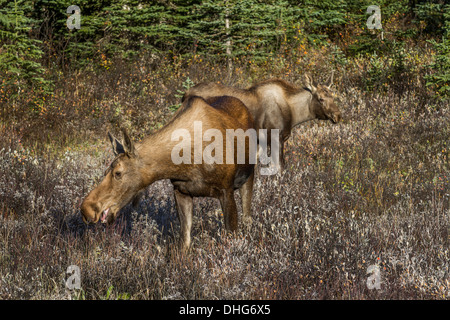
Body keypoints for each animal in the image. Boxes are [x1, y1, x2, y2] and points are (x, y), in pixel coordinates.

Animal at [81, 96, 256, 251]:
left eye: (118, 173)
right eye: (105, 171)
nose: (86, 209)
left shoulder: (226, 190)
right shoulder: (181, 191)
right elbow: (184, 242)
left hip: (248, 176)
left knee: (247, 218)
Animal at [183, 73, 342, 171]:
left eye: (333, 96)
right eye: (321, 98)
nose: (338, 115)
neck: (294, 113)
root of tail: (184, 95)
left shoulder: (261, 141)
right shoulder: (276, 137)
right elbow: (279, 167)